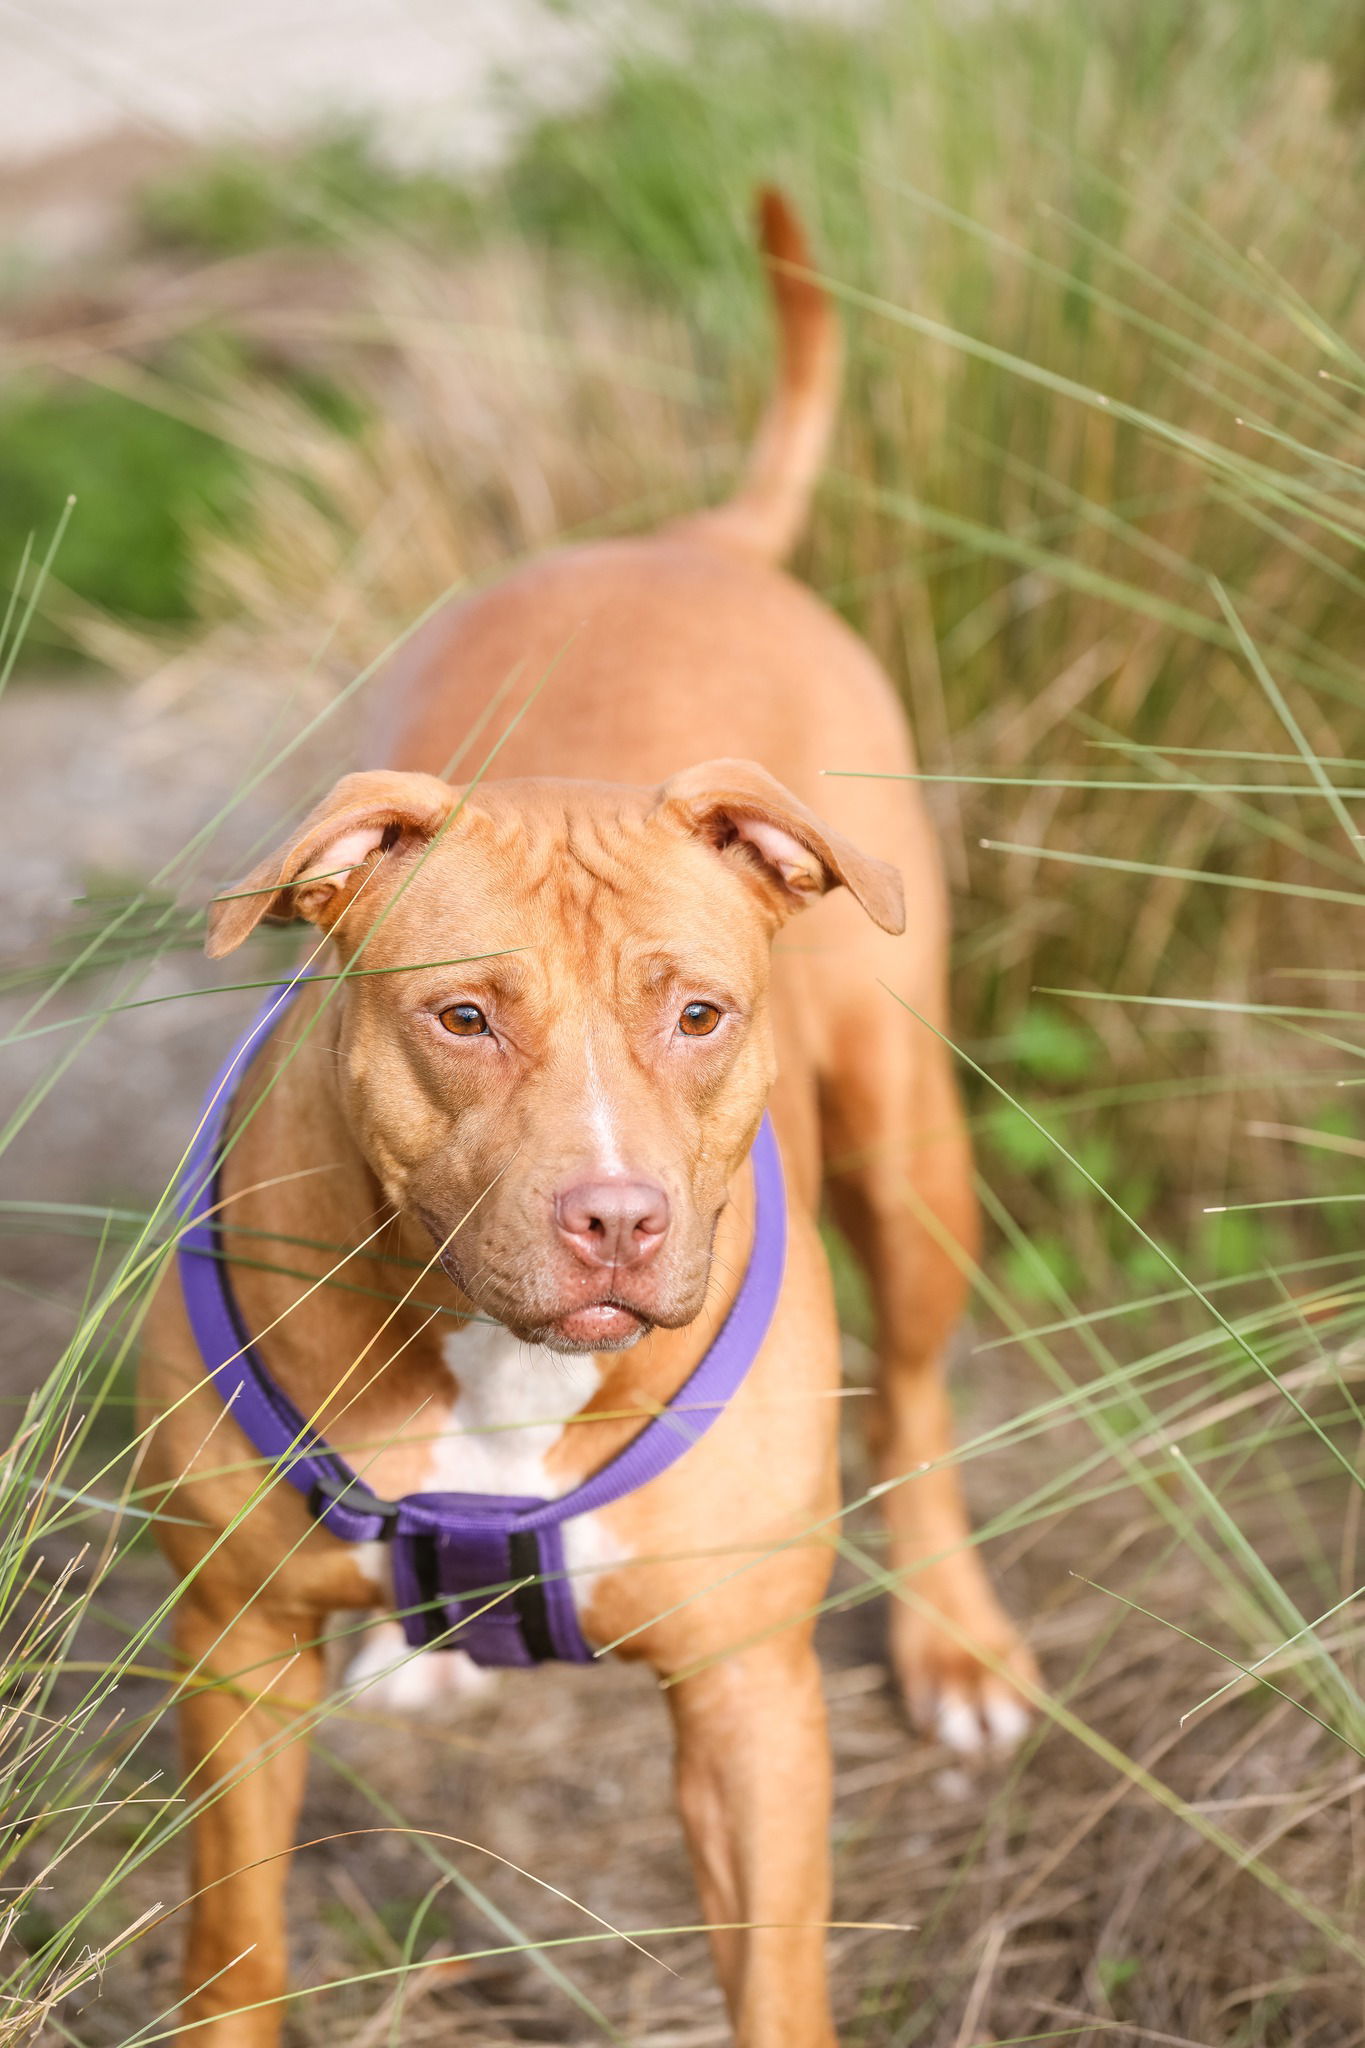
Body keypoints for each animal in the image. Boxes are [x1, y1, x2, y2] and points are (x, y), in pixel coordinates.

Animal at [141, 192, 1035, 2048]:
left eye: (696, 1014)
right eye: (463, 1017)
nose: (616, 1220)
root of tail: (691, 538)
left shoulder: (749, 1704)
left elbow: (775, 1972)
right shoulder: (231, 1661)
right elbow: (234, 1949)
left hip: (907, 1142)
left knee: (917, 1387)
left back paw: (957, 1643)